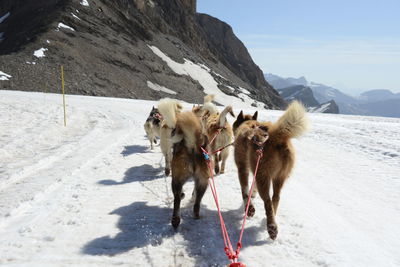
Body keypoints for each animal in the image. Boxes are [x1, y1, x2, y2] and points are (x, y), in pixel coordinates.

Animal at [159, 100, 211, 228]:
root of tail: (192, 145)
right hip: (203, 181)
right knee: (196, 201)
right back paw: (191, 216)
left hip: (178, 178)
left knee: (177, 199)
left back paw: (176, 219)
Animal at [233, 102, 308, 241]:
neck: (249, 123)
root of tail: (276, 138)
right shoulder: (256, 172)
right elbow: (252, 190)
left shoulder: (243, 169)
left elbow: (244, 191)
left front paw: (249, 207)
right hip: (278, 178)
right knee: (276, 198)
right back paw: (269, 219)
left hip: (263, 177)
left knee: (267, 201)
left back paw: (272, 227)